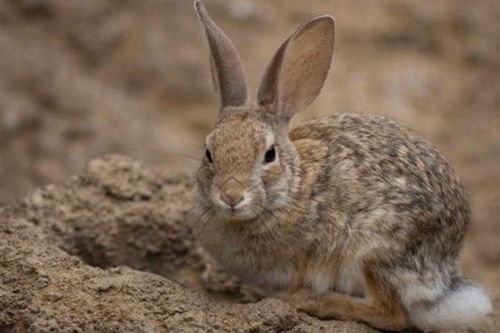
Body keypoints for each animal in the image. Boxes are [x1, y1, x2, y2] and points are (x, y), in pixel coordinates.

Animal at [190, 1, 492, 330]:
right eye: (208, 152)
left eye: (269, 154)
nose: (231, 197)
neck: (292, 188)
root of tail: (444, 285)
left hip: (373, 252)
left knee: (392, 314)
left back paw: (314, 301)